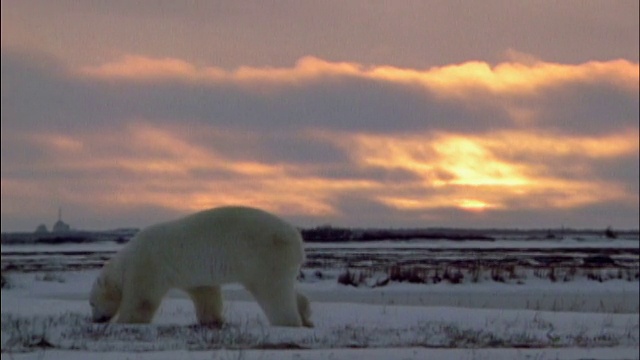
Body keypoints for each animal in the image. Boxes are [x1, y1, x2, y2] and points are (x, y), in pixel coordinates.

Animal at [89, 205, 312, 326]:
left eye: (92, 303)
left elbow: (141, 298)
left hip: (265, 255)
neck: (126, 260)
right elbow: (205, 293)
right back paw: (306, 315)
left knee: (273, 292)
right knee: (285, 288)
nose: (96, 319)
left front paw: (125, 320)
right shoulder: (191, 274)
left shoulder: (148, 264)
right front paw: (212, 320)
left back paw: (288, 321)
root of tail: (296, 237)